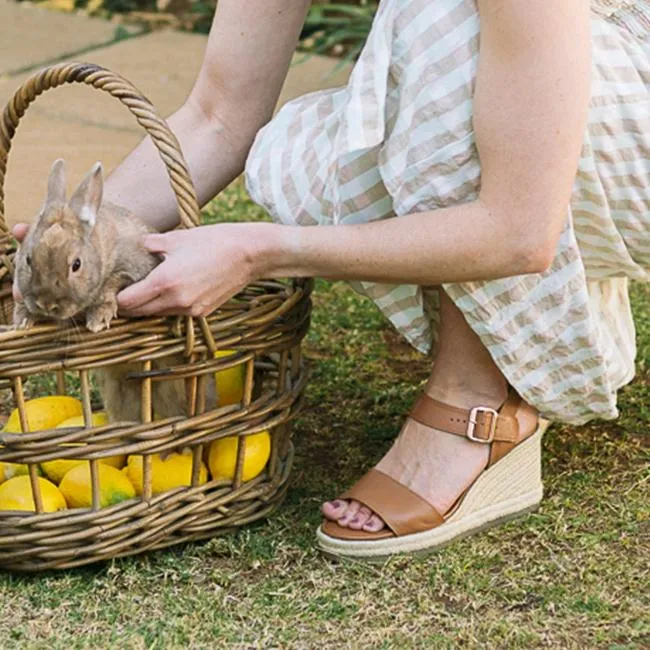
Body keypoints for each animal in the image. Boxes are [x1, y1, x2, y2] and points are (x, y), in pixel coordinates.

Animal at [13, 160, 208, 422]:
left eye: (76, 264)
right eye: (28, 260)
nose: (46, 304)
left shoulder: (132, 270)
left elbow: (112, 283)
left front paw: (97, 319)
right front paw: (22, 321)